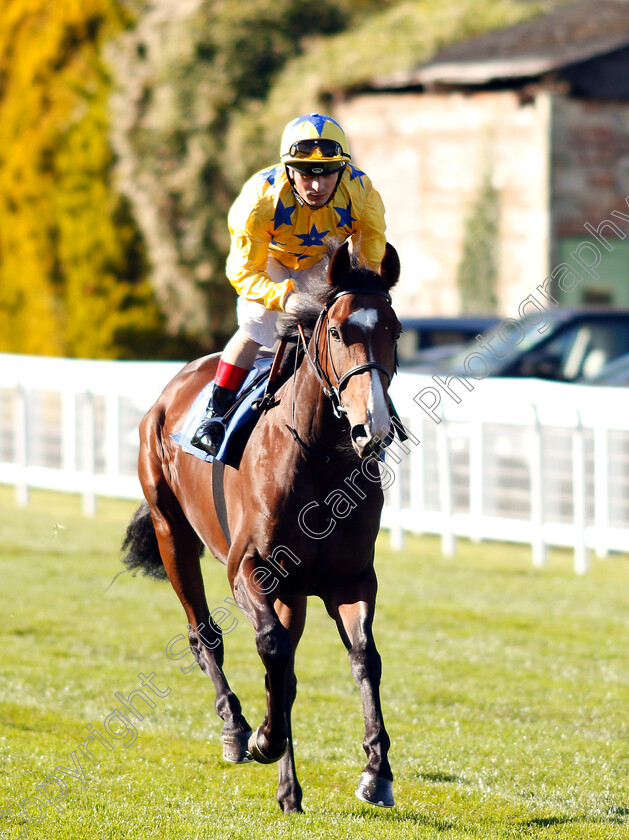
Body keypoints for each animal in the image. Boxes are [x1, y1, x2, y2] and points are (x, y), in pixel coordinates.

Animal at [120, 241, 400, 812]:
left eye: (396, 331)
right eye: (337, 331)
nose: (373, 428)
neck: (319, 460)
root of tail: (173, 386)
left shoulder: (351, 579)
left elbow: (363, 658)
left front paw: (376, 771)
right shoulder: (250, 569)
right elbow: (271, 649)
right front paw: (262, 739)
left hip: (292, 591)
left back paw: (289, 790)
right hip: (171, 530)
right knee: (205, 635)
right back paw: (236, 730)